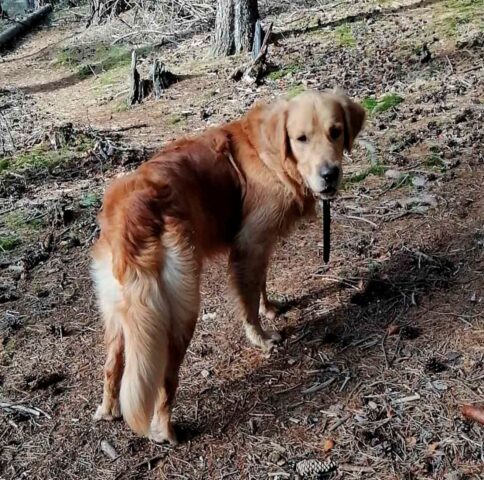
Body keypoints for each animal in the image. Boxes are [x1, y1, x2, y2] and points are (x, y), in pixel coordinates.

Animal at [91, 89, 364, 442]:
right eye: (301, 138)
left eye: (336, 132)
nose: (329, 175)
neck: (269, 154)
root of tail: (131, 212)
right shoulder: (249, 244)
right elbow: (247, 300)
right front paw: (261, 337)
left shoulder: (260, 245)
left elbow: (261, 282)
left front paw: (269, 308)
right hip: (180, 310)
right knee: (166, 380)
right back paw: (166, 430)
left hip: (119, 311)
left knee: (113, 364)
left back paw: (108, 409)